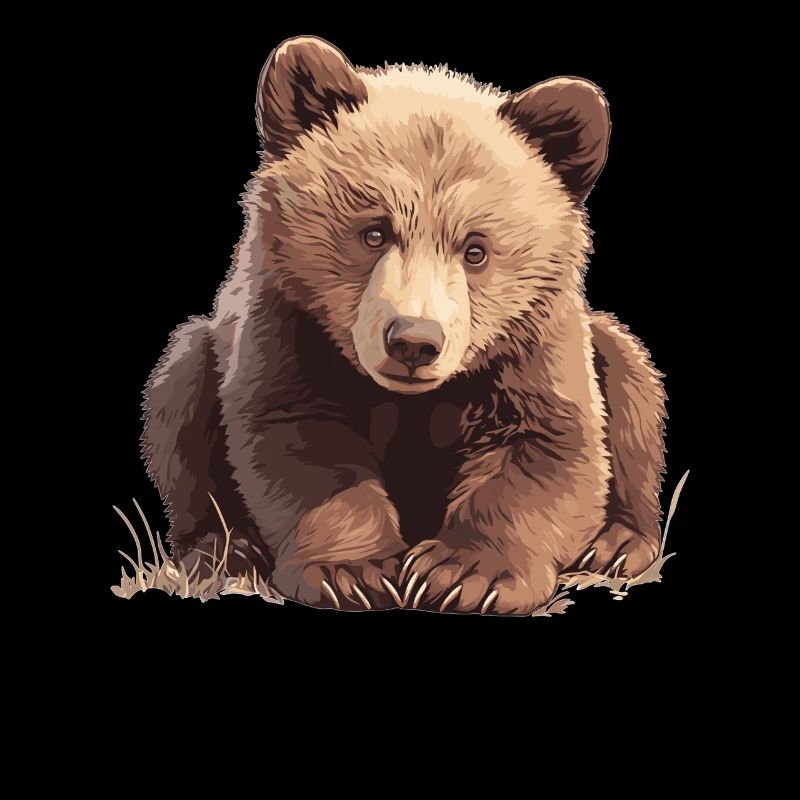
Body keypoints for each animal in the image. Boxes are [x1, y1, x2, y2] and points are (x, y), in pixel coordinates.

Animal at [142, 36, 666, 615]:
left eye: (476, 249)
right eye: (374, 232)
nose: (414, 341)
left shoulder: (530, 340)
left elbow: (548, 442)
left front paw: (465, 572)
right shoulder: (289, 325)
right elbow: (300, 436)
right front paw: (354, 572)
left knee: (631, 379)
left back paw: (617, 545)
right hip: (198, 358)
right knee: (179, 394)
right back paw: (226, 551)